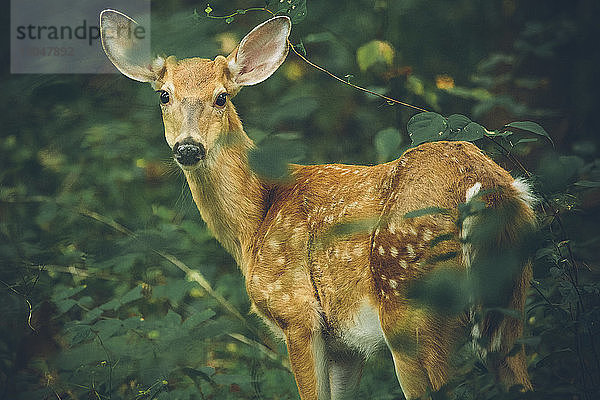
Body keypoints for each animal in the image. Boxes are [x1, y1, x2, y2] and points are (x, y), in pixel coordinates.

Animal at [101, 10, 536, 400]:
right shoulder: (346, 344)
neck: (255, 221)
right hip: (509, 309)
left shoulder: (296, 312)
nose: (188, 147)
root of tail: (485, 188)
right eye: (164, 95)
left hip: (410, 304)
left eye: (221, 97)